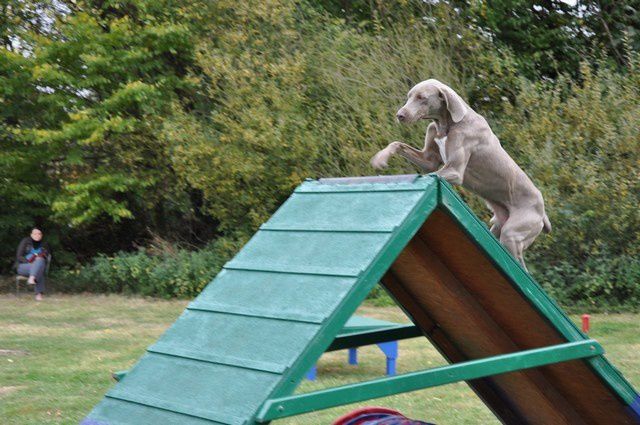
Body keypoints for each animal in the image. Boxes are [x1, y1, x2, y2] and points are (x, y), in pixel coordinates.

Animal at [370, 78, 552, 270]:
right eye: (409, 96)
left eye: (422, 97)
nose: (400, 115)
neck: (446, 124)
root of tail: (543, 213)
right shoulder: (429, 160)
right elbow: (398, 144)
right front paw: (380, 158)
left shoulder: (455, 171)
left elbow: (431, 175)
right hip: (498, 227)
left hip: (513, 234)